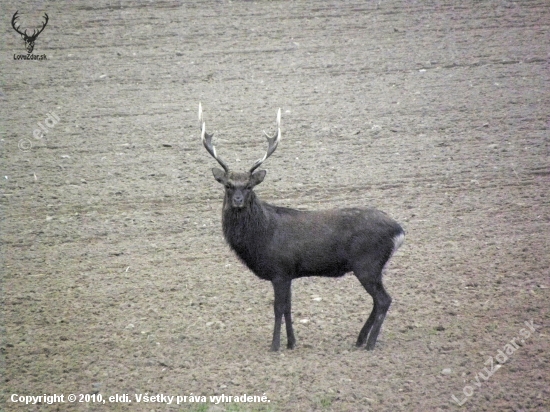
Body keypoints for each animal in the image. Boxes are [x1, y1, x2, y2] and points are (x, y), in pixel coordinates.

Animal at [202, 104, 406, 350]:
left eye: (249, 186)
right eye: (228, 185)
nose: (238, 201)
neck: (262, 237)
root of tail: (399, 231)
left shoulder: (280, 270)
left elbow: (278, 308)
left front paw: (275, 345)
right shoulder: (288, 273)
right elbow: (289, 308)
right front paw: (291, 343)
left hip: (368, 263)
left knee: (384, 300)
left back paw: (370, 343)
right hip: (373, 267)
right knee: (378, 301)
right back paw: (360, 340)